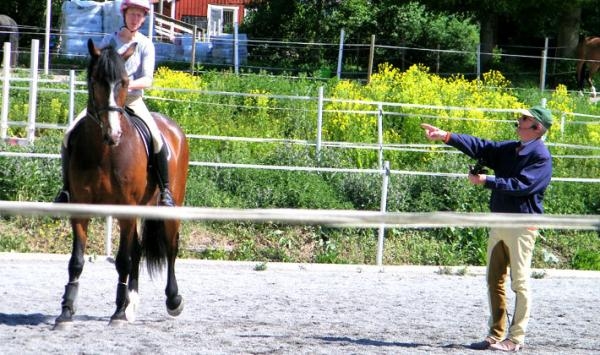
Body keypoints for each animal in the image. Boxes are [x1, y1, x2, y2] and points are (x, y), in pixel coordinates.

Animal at [54, 39, 190, 330]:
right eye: (95, 80)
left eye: (125, 82)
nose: (113, 133)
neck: (105, 151)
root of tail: (172, 127)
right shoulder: (80, 208)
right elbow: (77, 261)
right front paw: (66, 312)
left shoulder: (125, 208)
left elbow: (123, 261)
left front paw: (116, 312)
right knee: (138, 250)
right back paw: (130, 306)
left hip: (169, 207)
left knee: (170, 247)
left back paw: (172, 301)